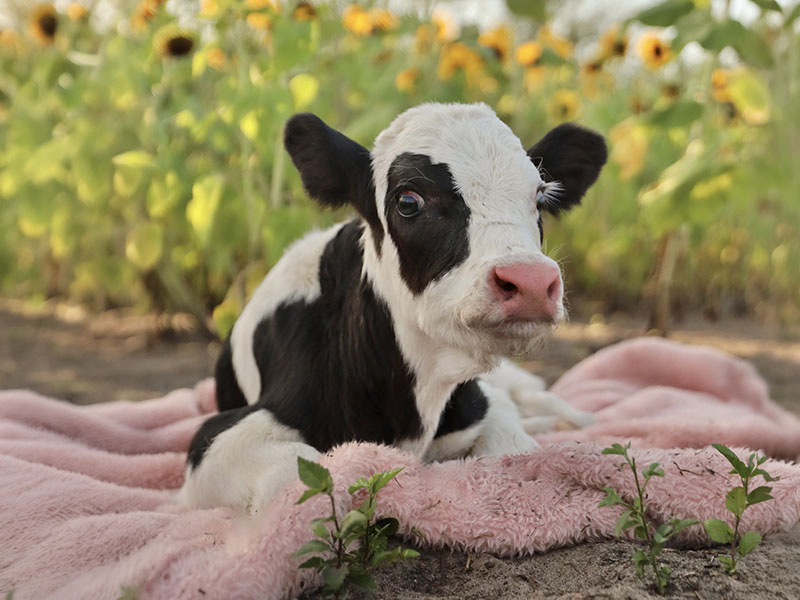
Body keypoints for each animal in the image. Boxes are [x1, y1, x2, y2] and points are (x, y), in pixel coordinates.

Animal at [179, 102, 607, 514]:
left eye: (540, 198)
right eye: (408, 201)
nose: (530, 280)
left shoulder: (484, 404)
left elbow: (511, 450)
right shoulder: (216, 437)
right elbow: (304, 472)